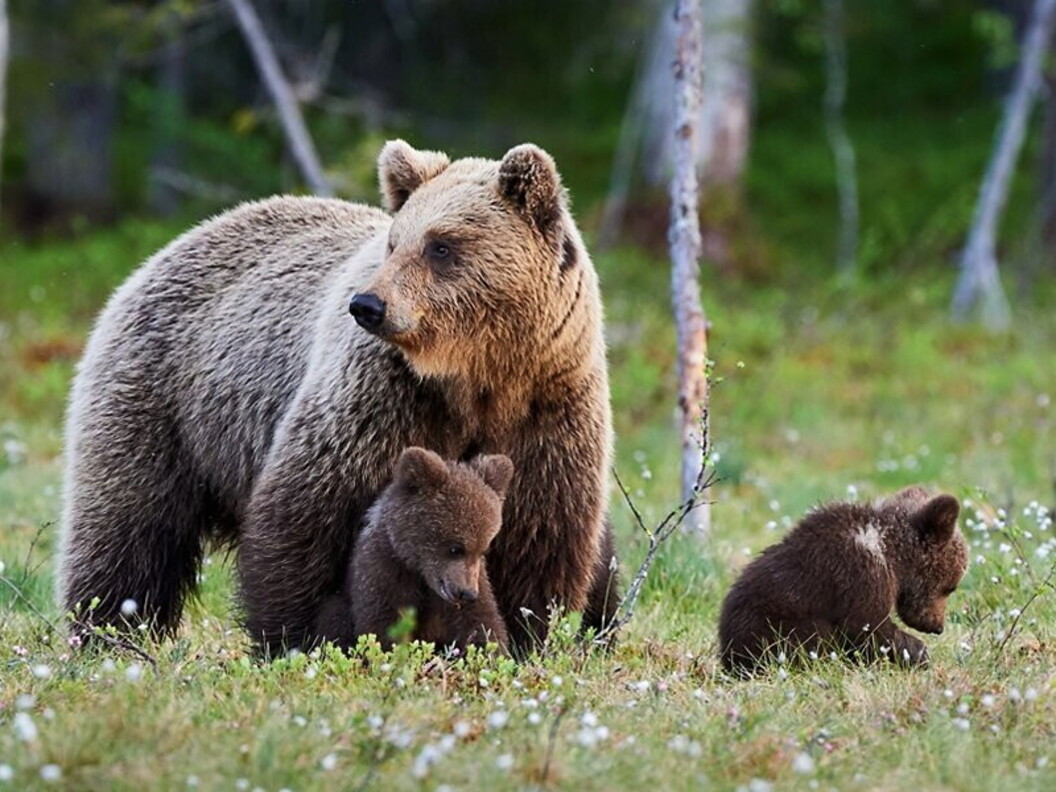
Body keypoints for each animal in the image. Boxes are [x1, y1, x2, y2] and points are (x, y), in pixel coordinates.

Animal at [315, 447, 513, 653]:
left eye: (483, 549)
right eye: (455, 548)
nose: (467, 593)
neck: (419, 571)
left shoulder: (473, 582)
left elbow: (481, 622)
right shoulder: (383, 570)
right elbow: (383, 622)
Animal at [718, 486, 968, 674]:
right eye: (950, 587)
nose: (938, 626)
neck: (891, 554)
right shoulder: (859, 573)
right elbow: (866, 626)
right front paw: (918, 653)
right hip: (773, 625)